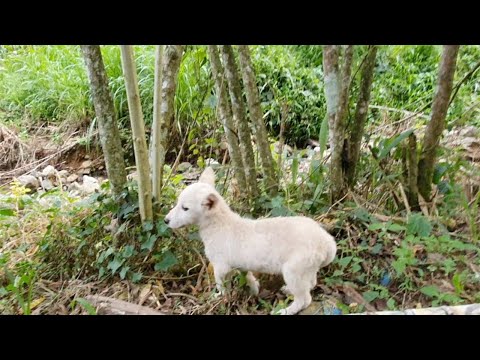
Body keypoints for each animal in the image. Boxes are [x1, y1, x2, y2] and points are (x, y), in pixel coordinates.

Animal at [165, 167, 338, 314]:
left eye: (185, 208)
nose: (166, 220)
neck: (218, 224)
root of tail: (328, 243)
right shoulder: (240, 265)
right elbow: (248, 278)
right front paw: (254, 290)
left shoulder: (220, 266)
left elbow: (221, 286)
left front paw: (220, 298)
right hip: (308, 268)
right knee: (311, 284)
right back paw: (289, 290)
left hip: (294, 269)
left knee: (304, 299)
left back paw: (285, 310)